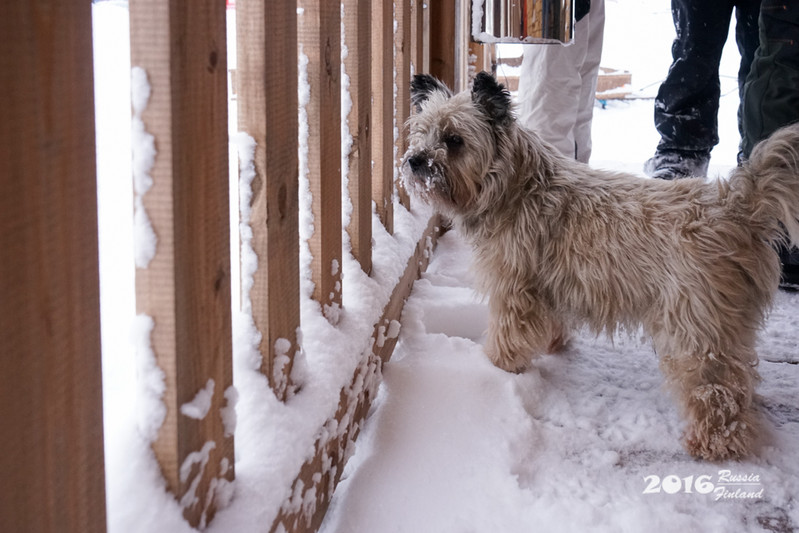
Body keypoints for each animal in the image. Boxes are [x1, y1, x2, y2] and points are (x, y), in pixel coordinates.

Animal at [404, 71, 799, 462]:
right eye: (422, 131)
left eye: (454, 139)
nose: (415, 160)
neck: (515, 185)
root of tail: (735, 205)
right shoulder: (545, 287)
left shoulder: (514, 289)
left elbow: (508, 336)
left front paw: (497, 369)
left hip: (697, 328)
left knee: (716, 390)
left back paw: (713, 442)